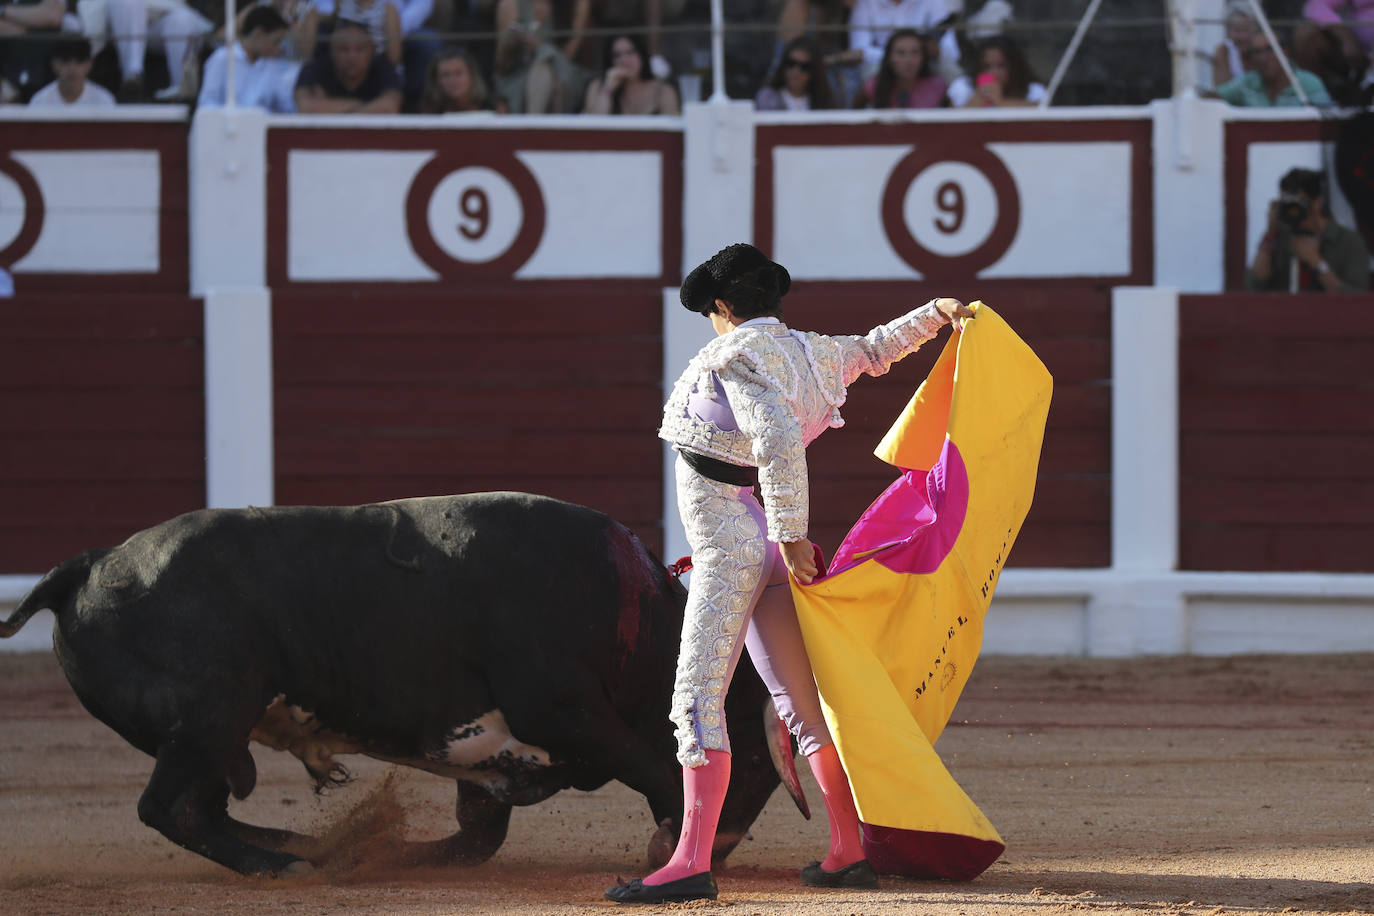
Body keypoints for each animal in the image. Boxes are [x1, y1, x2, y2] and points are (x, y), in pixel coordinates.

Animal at [2, 491, 802, 878]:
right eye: (753, 753)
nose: (728, 843)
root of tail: (89, 564)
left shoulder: (490, 763)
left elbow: (475, 840)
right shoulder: (563, 709)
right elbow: (661, 776)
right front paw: (676, 850)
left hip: (212, 737)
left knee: (203, 809)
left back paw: (312, 849)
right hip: (209, 717)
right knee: (173, 808)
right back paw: (286, 864)